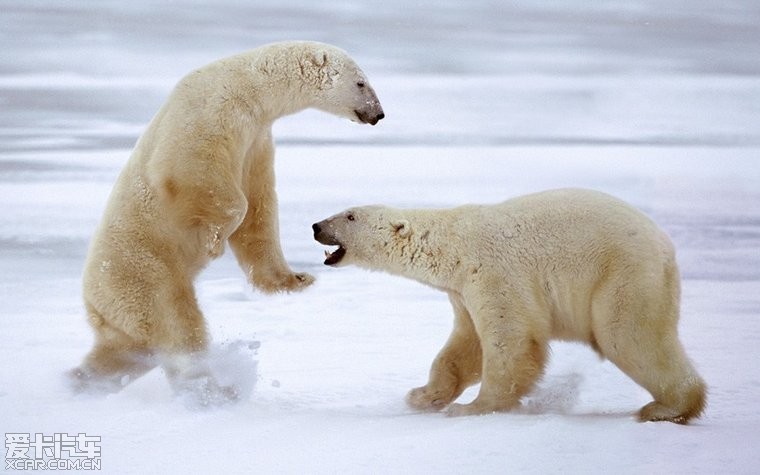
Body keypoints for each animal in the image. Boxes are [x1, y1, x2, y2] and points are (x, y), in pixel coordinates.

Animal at [70, 41, 386, 402]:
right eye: (361, 83)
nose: (378, 114)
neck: (249, 84)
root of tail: (92, 299)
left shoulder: (257, 138)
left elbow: (259, 207)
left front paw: (296, 279)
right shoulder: (212, 112)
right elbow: (197, 174)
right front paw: (214, 241)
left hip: (125, 308)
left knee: (124, 350)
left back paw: (79, 381)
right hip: (143, 272)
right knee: (175, 323)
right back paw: (215, 391)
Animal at [314, 190, 708, 424]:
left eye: (349, 216)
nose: (317, 225)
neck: (452, 246)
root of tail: (665, 246)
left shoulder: (495, 273)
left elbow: (511, 341)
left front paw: (472, 407)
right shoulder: (462, 291)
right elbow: (464, 348)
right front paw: (422, 396)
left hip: (622, 276)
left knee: (629, 337)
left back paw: (668, 407)